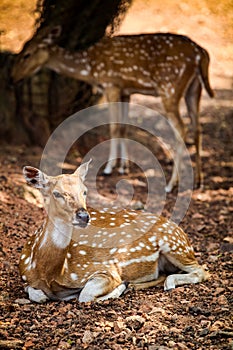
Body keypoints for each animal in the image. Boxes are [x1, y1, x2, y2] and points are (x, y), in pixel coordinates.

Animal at [11, 26, 214, 191]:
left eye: (27, 54)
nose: (13, 78)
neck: (89, 68)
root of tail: (201, 54)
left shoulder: (111, 84)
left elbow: (113, 126)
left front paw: (109, 168)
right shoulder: (126, 91)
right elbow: (124, 126)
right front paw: (123, 166)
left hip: (169, 87)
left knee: (181, 127)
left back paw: (172, 184)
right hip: (194, 88)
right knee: (197, 126)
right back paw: (198, 181)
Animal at [19, 160, 208, 302]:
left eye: (85, 191)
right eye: (57, 193)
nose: (83, 216)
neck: (49, 272)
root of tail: (181, 232)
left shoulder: (106, 269)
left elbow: (85, 295)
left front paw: (119, 288)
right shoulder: (24, 277)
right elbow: (36, 294)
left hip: (174, 244)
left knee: (202, 271)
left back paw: (166, 284)